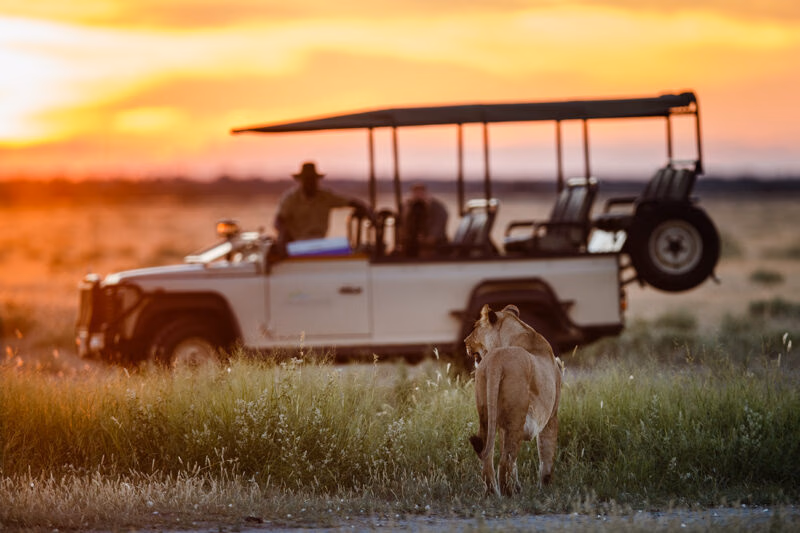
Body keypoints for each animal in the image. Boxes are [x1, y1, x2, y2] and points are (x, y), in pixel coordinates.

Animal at [464, 304, 564, 496]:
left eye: (475, 327)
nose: (465, 341)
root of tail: (496, 359)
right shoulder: (552, 415)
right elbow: (546, 454)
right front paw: (546, 488)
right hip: (516, 418)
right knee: (506, 461)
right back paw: (510, 495)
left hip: (487, 416)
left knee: (488, 459)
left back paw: (494, 493)